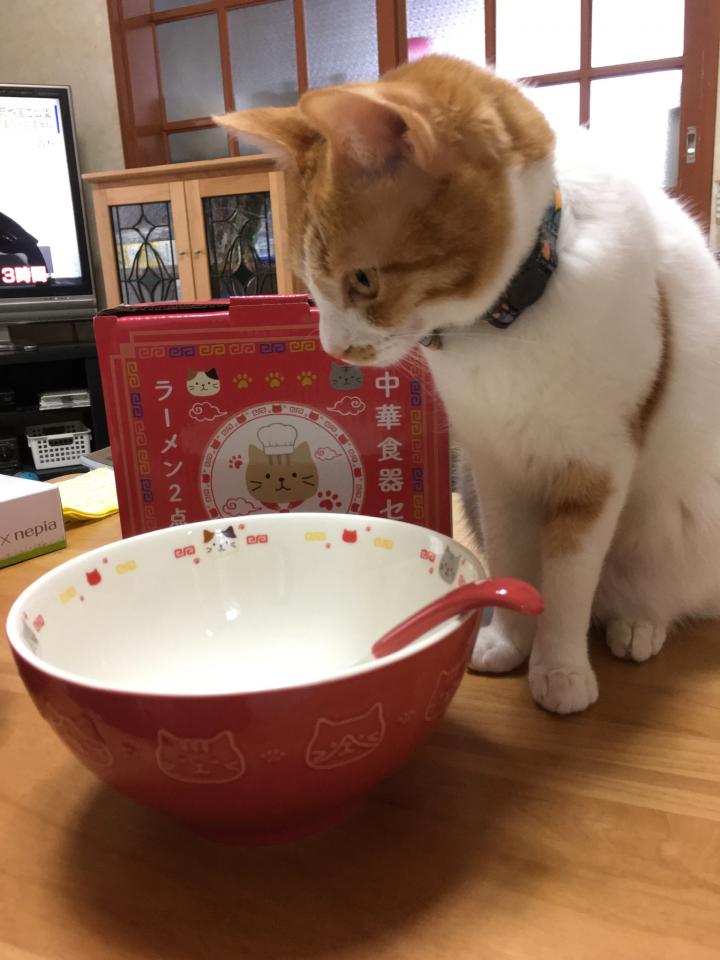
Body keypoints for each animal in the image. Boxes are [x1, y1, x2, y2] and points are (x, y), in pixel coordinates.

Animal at [215, 55, 720, 714]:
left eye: (363, 280)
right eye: (310, 283)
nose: (332, 347)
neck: (504, 329)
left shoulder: (595, 463)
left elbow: (569, 577)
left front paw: (559, 667)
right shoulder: (494, 462)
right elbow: (513, 561)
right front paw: (508, 638)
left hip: (681, 516)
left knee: (651, 588)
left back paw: (637, 623)